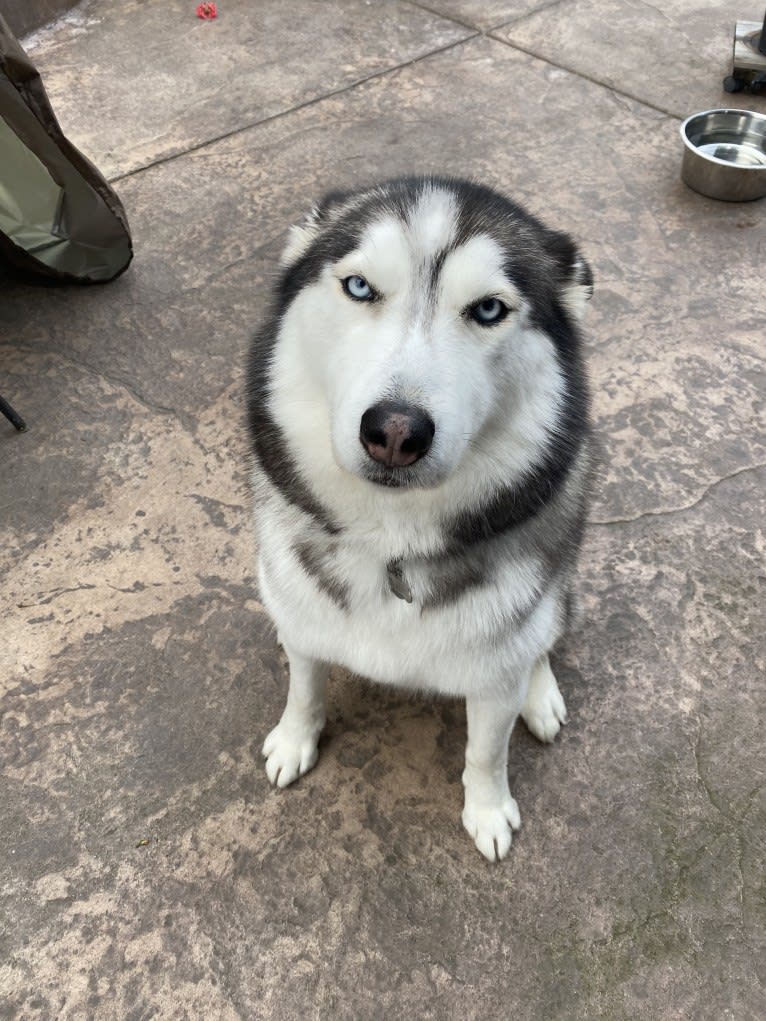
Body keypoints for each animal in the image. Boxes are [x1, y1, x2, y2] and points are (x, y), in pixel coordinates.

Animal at [249, 177, 596, 861]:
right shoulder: (301, 618)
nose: (394, 432)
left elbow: (487, 752)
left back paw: (541, 695)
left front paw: (488, 811)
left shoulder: (493, 678)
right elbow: (304, 687)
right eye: (360, 287)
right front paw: (294, 740)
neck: (392, 543)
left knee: (546, 632)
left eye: (487, 309)